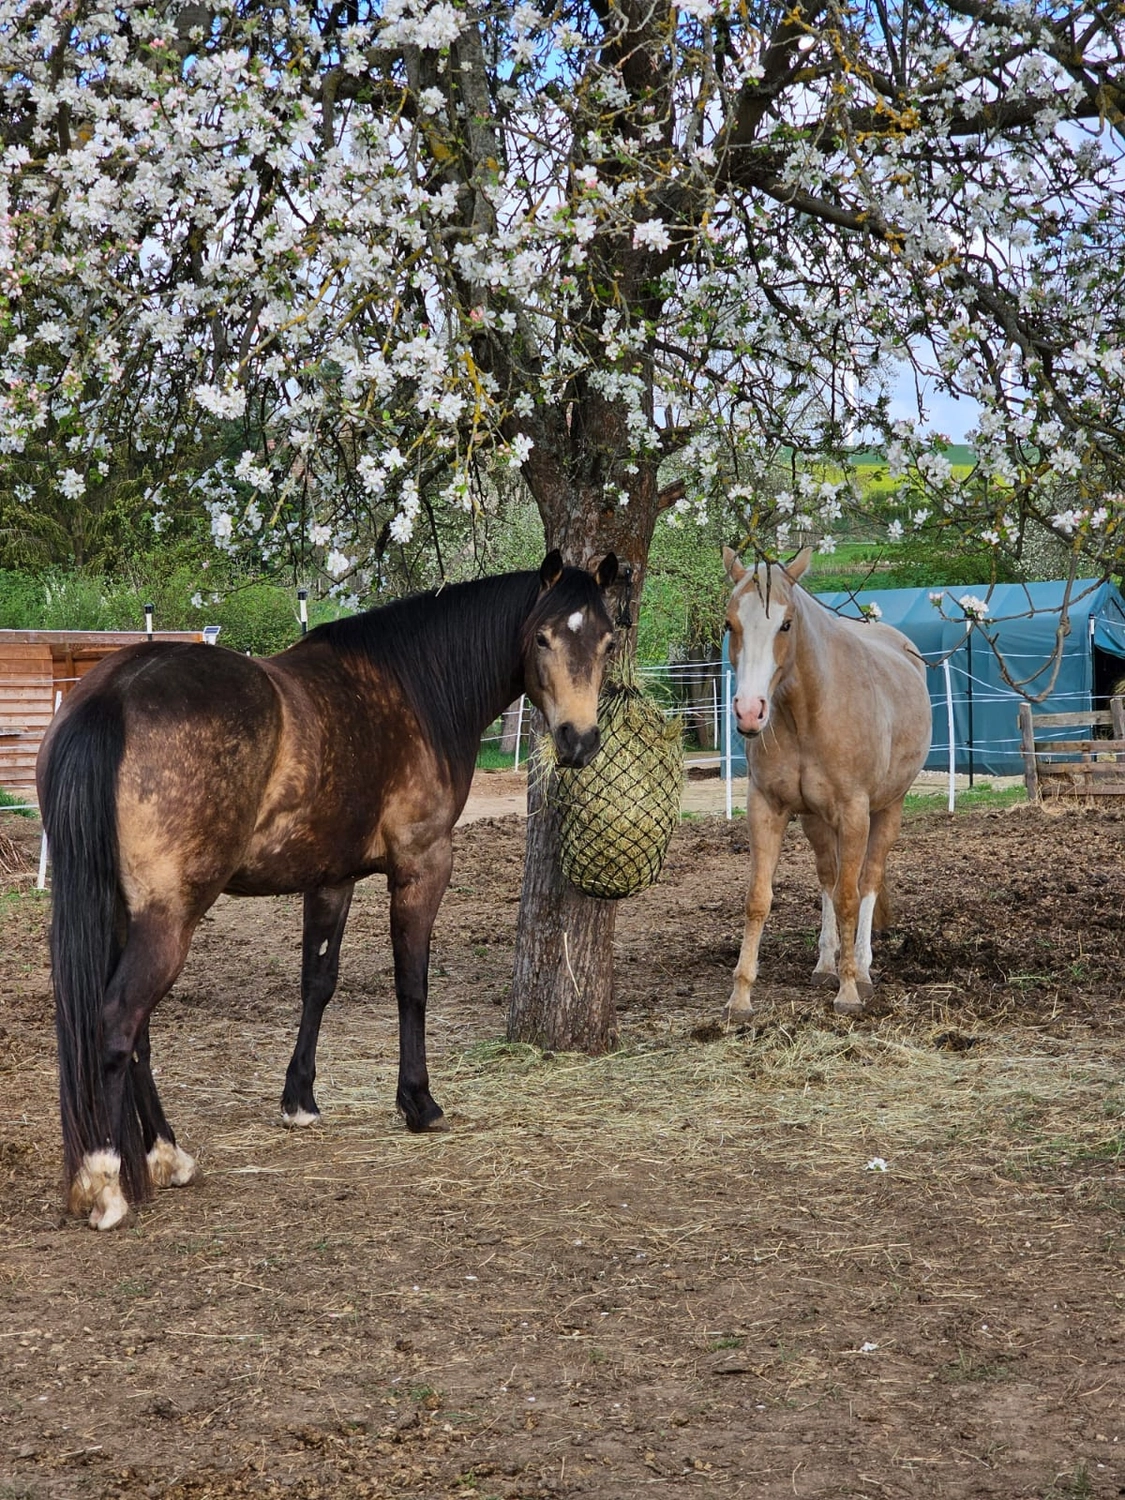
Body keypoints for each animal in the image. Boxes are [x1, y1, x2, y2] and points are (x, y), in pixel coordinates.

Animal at [37, 550, 618, 1231]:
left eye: (607, 640)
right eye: (544, 637)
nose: (579, 741)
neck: (414, 686)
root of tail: (114, 693)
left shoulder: (331, 880)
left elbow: (318, 982)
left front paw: (300, 1100)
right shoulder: (423, 865)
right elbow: (411, 984)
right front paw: (418, 1102)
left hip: (129, 913)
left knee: (136, 1034)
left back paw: (165, 1156)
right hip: (169, 917)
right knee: (118, 1021)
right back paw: (106, 1181)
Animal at [722, 546, 932, 1021]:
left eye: (786, 623)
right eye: (730, 624)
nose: (749, 712)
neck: (807, 712)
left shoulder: (854, 812)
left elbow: (852, 897)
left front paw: (849, 991)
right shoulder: (766, 807)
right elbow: (759, 899)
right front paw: (741, 997)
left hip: (887, 810)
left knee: (867, 880)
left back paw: (864, 969)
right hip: (815, 821)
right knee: (828, 878)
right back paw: (825, 964)